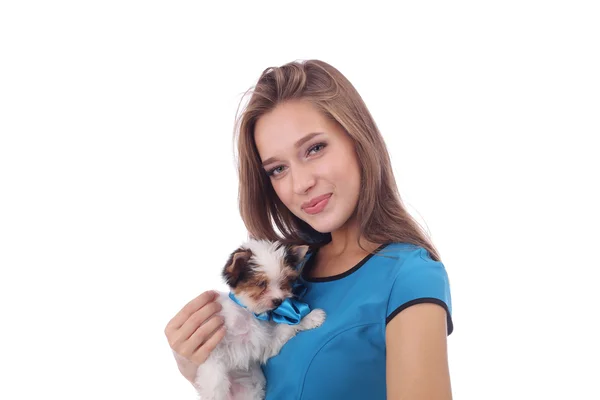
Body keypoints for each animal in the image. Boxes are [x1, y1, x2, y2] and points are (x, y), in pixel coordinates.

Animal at [195, 239, 326, 400]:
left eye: (284, 282)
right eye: (261, 284)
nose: (279, 301)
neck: (250, 313)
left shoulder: (264, 344)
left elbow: (285, 327)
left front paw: (310, 317)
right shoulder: (216, 339)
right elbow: (214, 366)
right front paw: (216, 391)